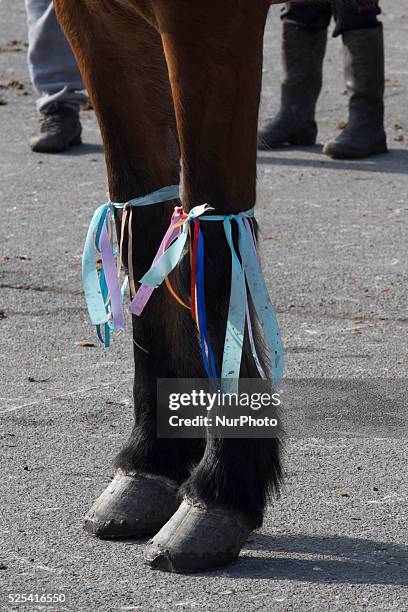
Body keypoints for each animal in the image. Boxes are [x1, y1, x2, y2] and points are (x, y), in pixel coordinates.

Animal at [54, 0, 288, 572]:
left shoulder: (209, 21)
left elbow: (216, 242)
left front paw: (223, 490)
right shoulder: (94, 21)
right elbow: (143, 223)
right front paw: (152, 461)